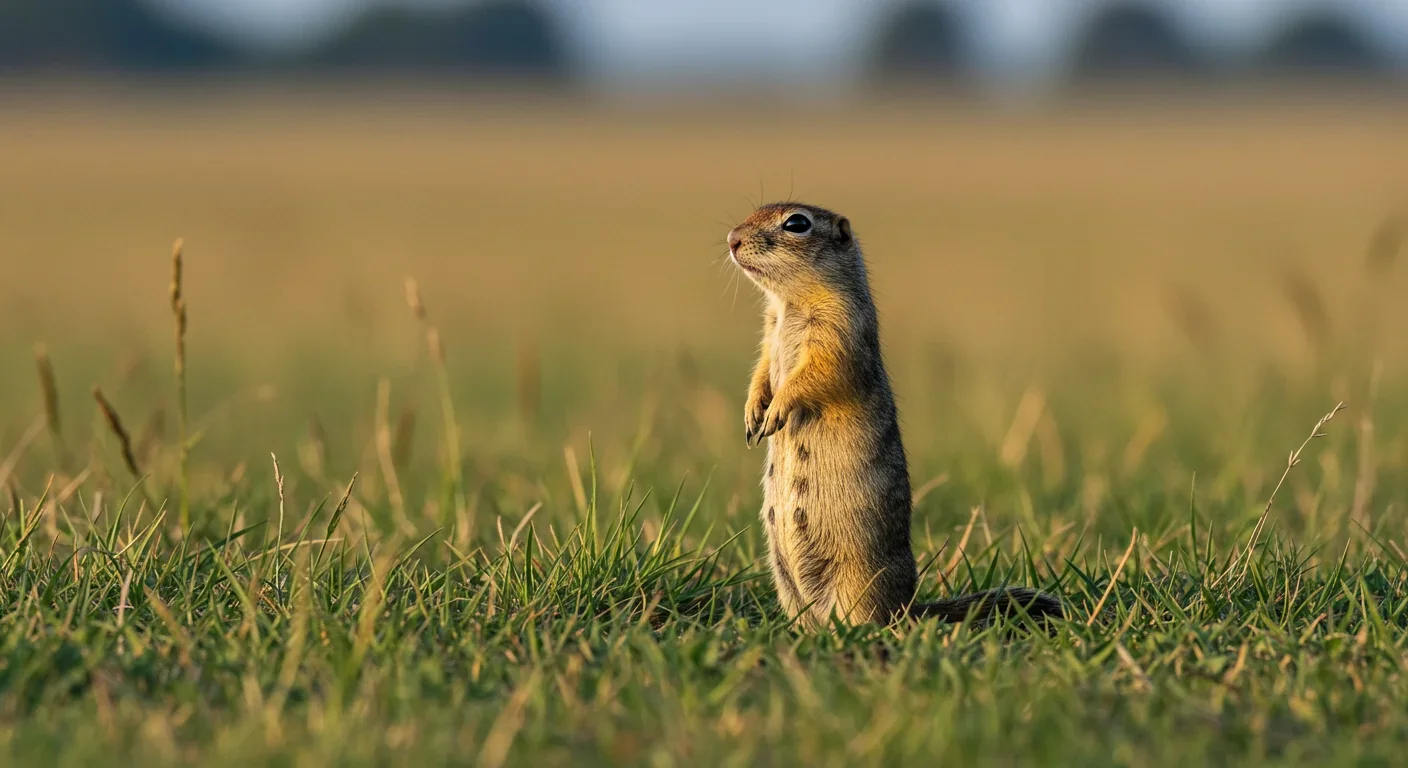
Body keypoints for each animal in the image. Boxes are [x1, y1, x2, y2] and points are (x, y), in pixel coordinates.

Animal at [727, 202, 1063, 629]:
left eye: (797, 223)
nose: (732, 239)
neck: (789, 304)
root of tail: (907, 606)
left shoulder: (840, 329)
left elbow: (820, 373)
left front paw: (777, 410)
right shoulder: (770, 334)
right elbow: (761, 369)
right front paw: (753, 411)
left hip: (858, 581)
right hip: (784, 579)